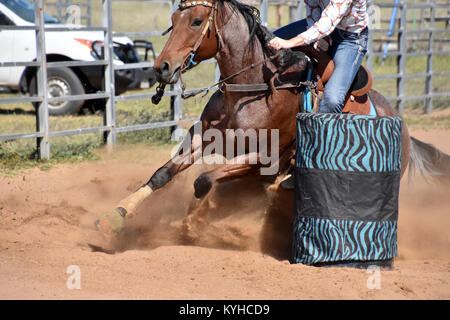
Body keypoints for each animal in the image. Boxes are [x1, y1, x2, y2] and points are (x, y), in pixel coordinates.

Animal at [91, 0, 450, 250]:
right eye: (173, 21)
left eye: (196, 21)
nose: (162, 67)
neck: (250, 91)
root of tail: (406, 131)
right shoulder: (202, 137)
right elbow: (163, 175)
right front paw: (114, 216)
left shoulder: (265, 158)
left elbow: (204, 182)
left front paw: (193, 223)